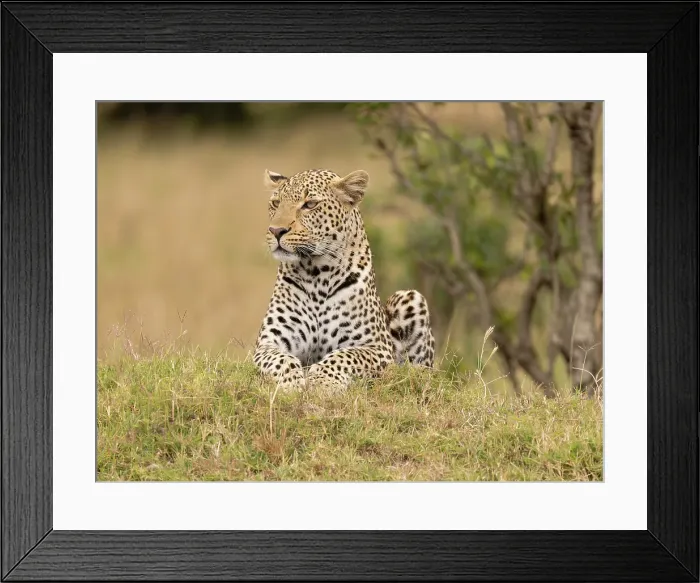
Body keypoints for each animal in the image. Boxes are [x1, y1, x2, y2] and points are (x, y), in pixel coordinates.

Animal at [253, 167, 435, 394]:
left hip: (410, 298)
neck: (316, 273)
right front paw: (291, 383)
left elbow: (344, 356)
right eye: (276, 203)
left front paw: (322, 381)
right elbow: (280, 359)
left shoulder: (377, 348)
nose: (276, 231)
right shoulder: (269, 342)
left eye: (310, 204)